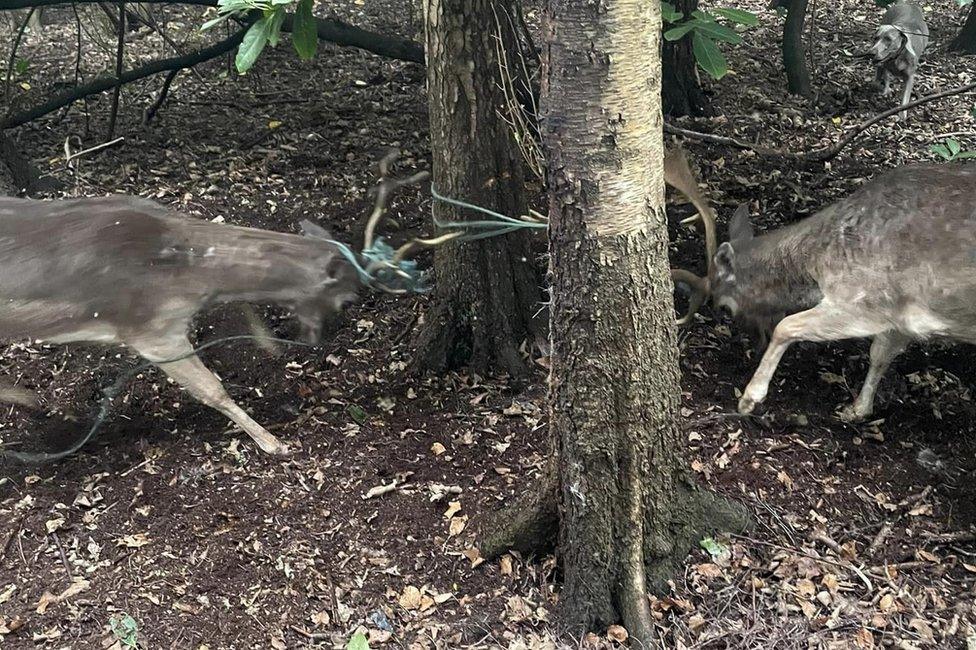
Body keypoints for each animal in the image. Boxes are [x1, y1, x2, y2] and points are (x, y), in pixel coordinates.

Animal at [0, 152, 428, 456]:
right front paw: (274, 444)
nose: (319, 338)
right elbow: (213, 389)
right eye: (348, 298)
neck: (190, 275)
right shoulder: (153, 329)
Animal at [668, 148, 976, 420]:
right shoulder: (900, 317)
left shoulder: (866, 298)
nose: (754, 342)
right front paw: (857, 410)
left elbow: (787, 325)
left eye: (725, 307)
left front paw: (749, 398)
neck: (822, 260)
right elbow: (879, 354)